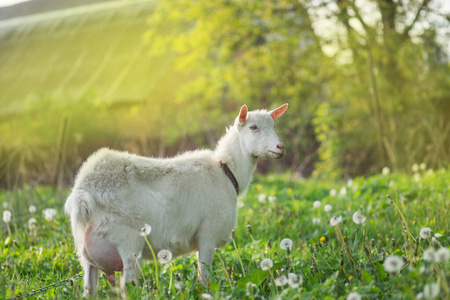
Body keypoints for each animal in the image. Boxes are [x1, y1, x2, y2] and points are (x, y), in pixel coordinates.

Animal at [64, 103, 288, 296]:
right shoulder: (208, 235)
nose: (280, 147)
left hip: (86, 254)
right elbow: (204, 278)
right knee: (129, 287)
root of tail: (83, 192)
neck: (226, 172)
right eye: (253, 127)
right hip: (128, 240)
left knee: (89, 288)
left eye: (274, 126)